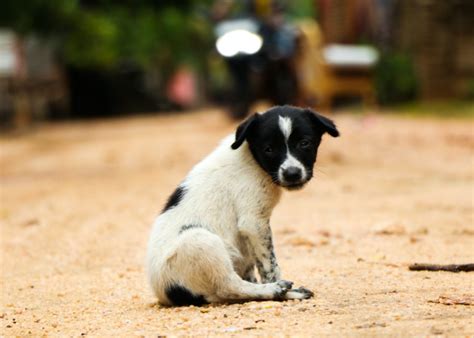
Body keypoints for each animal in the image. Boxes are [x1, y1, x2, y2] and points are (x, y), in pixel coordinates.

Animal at [146, 105, 338, 306]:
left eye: (304, 143)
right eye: (269, 149)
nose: (292, 173)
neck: (252, 159)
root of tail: (166, 293)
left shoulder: (247, 237)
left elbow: (253, 266)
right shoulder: (253, 222)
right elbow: (270, 265)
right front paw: (280, 287)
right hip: (199, 241)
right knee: (229, 286)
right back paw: (278, 291)